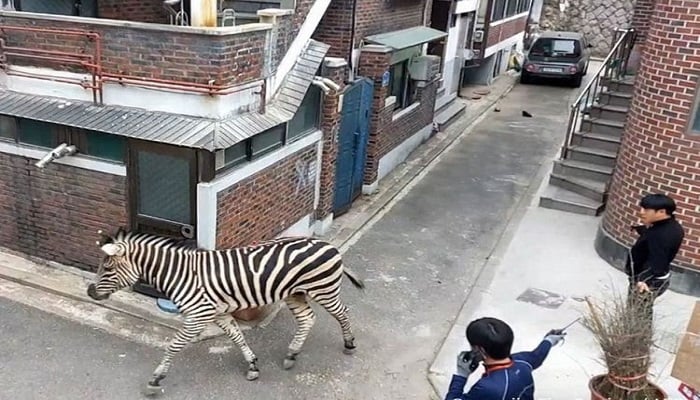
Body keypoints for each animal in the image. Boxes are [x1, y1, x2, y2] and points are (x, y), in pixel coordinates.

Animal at [86, 227, 366, 396]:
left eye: (107, 268)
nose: (90, 292)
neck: (181, 274)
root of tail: (326, 243)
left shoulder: (197, 316)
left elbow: (173, 346)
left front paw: (155, 379)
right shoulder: (218, 313)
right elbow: (237, 337)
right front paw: (252, 366)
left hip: (323, 289)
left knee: (343, 312)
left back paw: (349, 344)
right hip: (295, 294)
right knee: (308, 319)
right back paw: (292, 354)